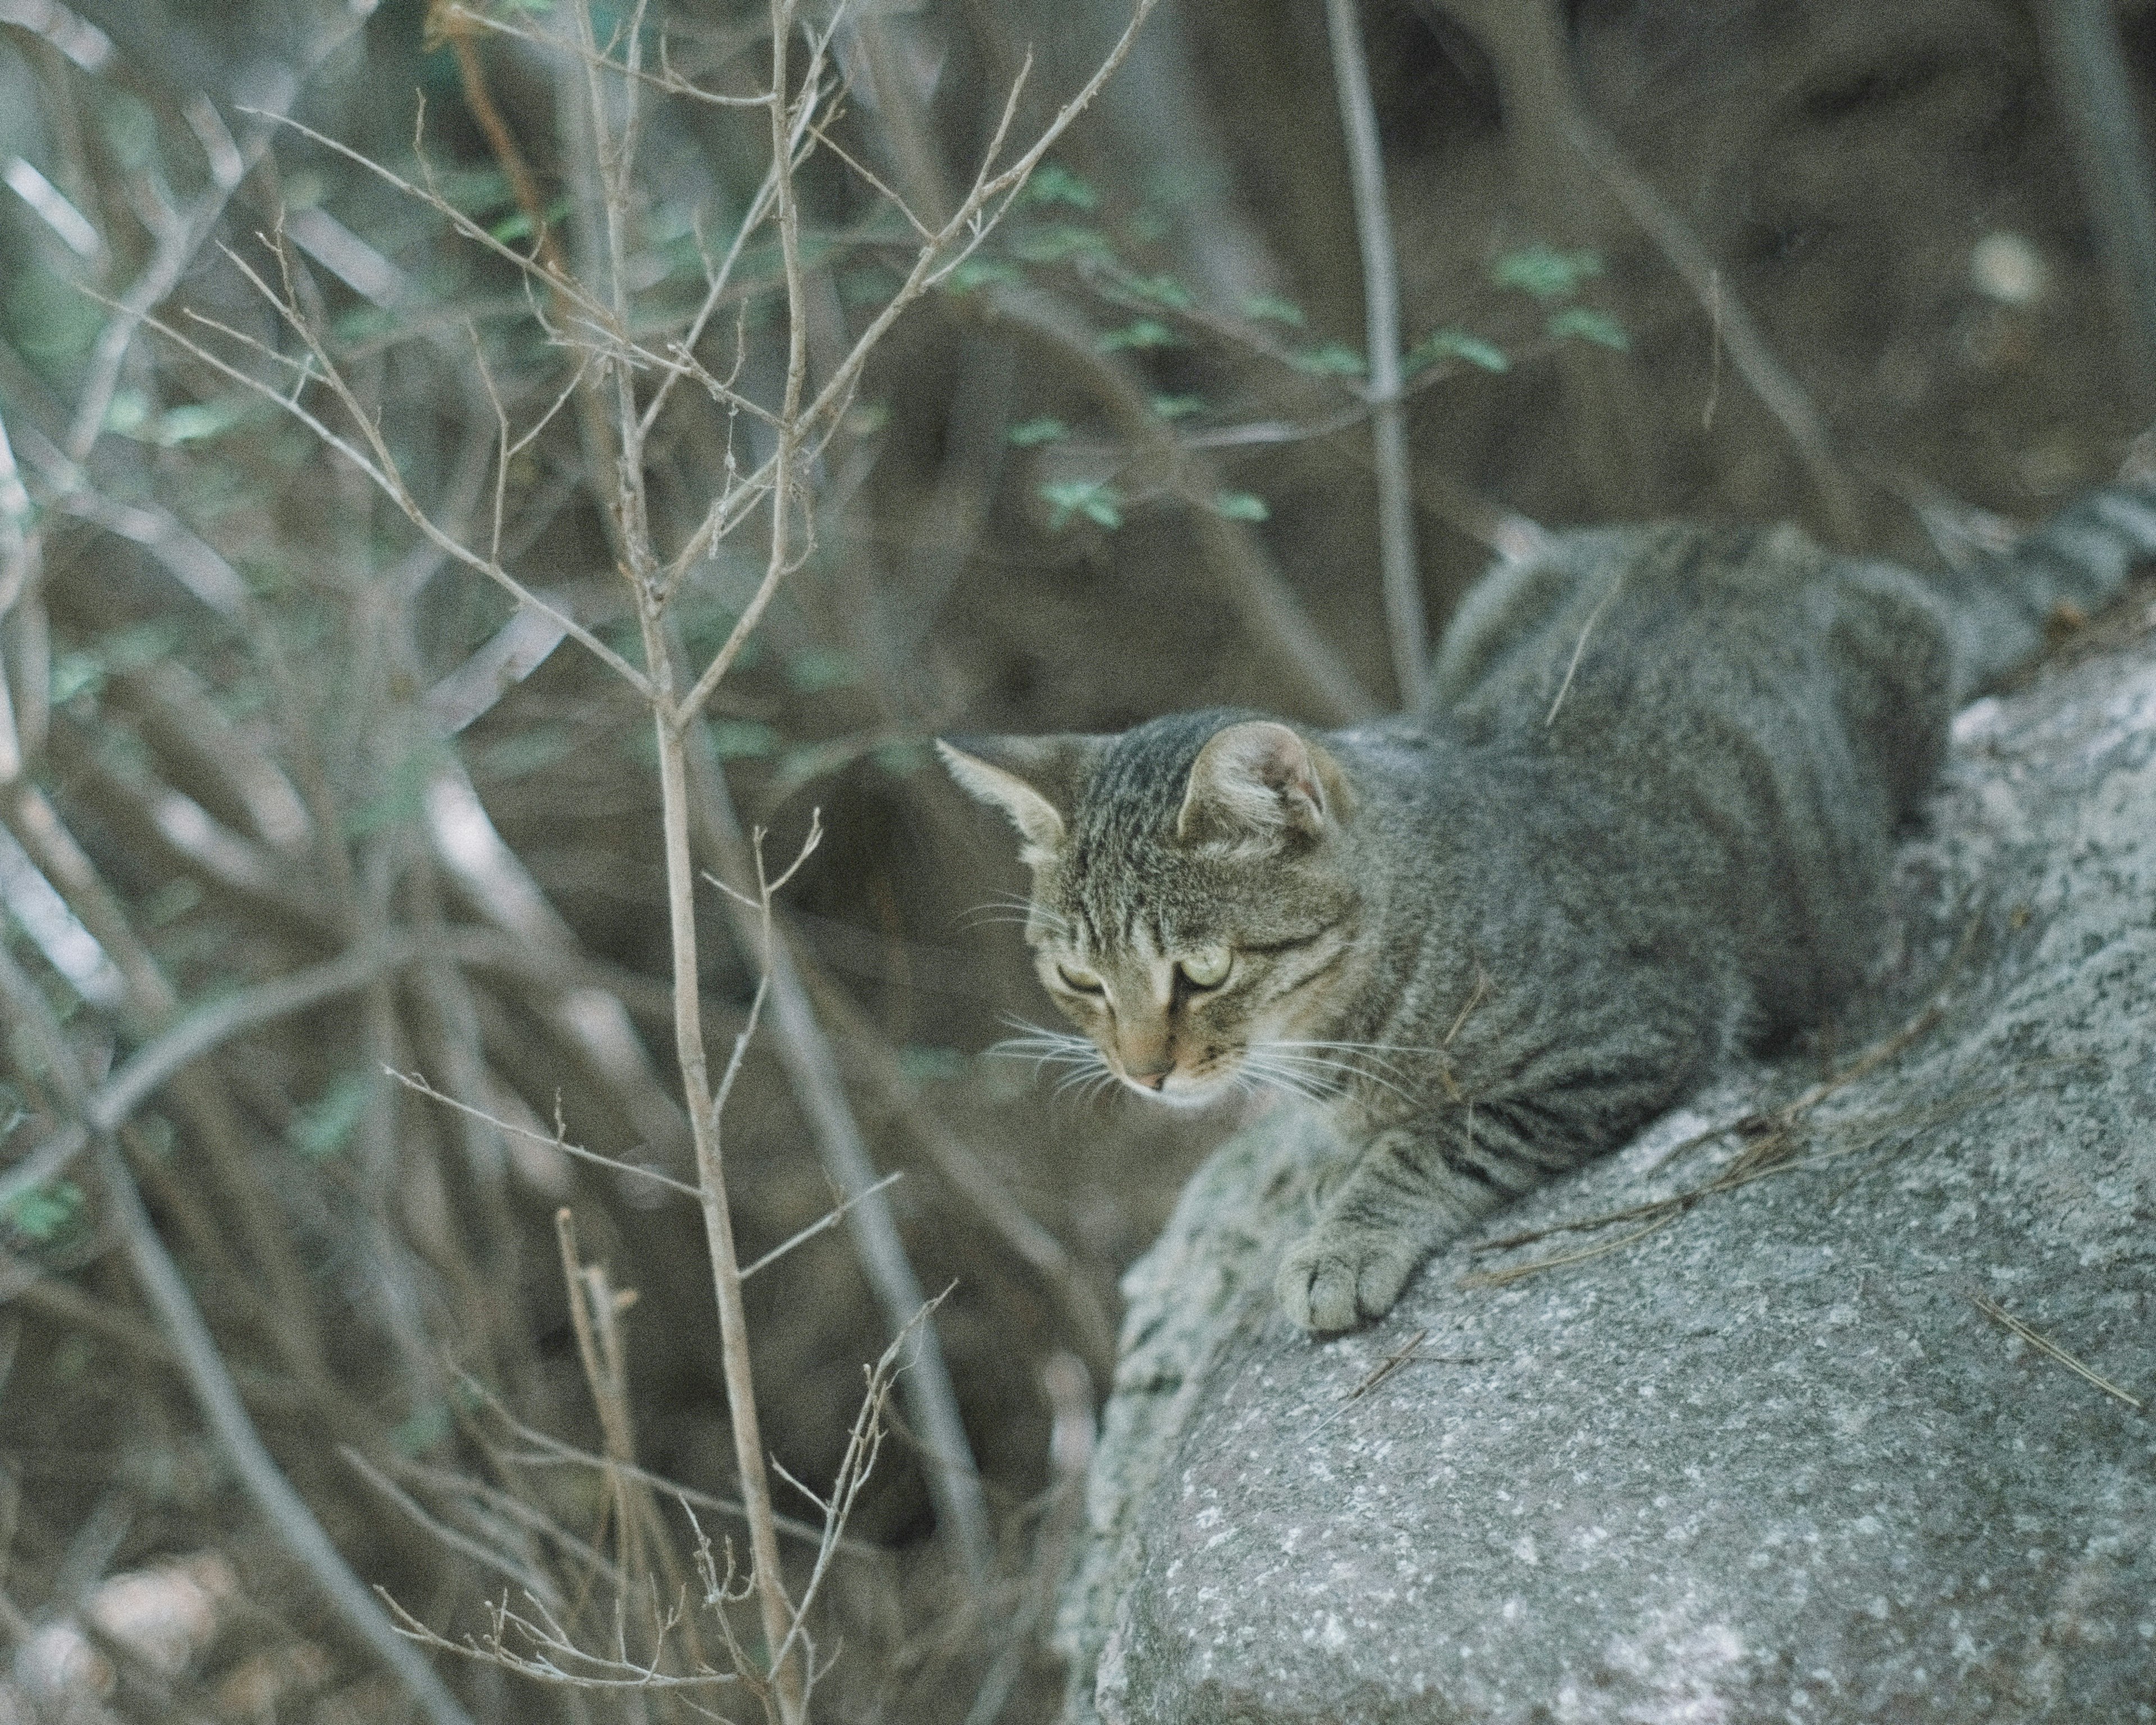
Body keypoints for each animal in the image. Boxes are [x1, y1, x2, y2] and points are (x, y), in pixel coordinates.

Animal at [940, 478, 2156, 1328]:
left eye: (1203, 971)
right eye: (1080, 980)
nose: (1141, 1072)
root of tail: (1770, 539)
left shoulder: (1624, 1040)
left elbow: (1433, 1142)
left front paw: (1341, 1240)